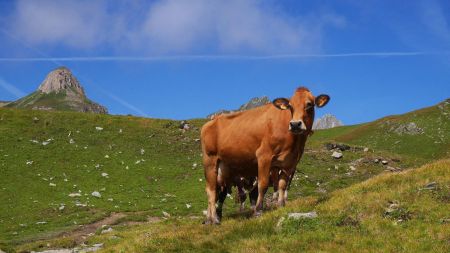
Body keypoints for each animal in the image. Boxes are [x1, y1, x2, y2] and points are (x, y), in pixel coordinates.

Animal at [202, 86, 328, 223]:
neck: (295, 143)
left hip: (224, 169)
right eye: (290, 106)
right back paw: (213, 219)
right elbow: (263, 185)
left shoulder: (289, 163)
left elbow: (282, 185)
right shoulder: (264, 156)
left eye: (309, 104)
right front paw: (258, 211)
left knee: (217, 191)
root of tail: (210, 122)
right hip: (210, 160)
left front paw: (281, 206)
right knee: (211, 191)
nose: (295, 124)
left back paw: (210, 219)